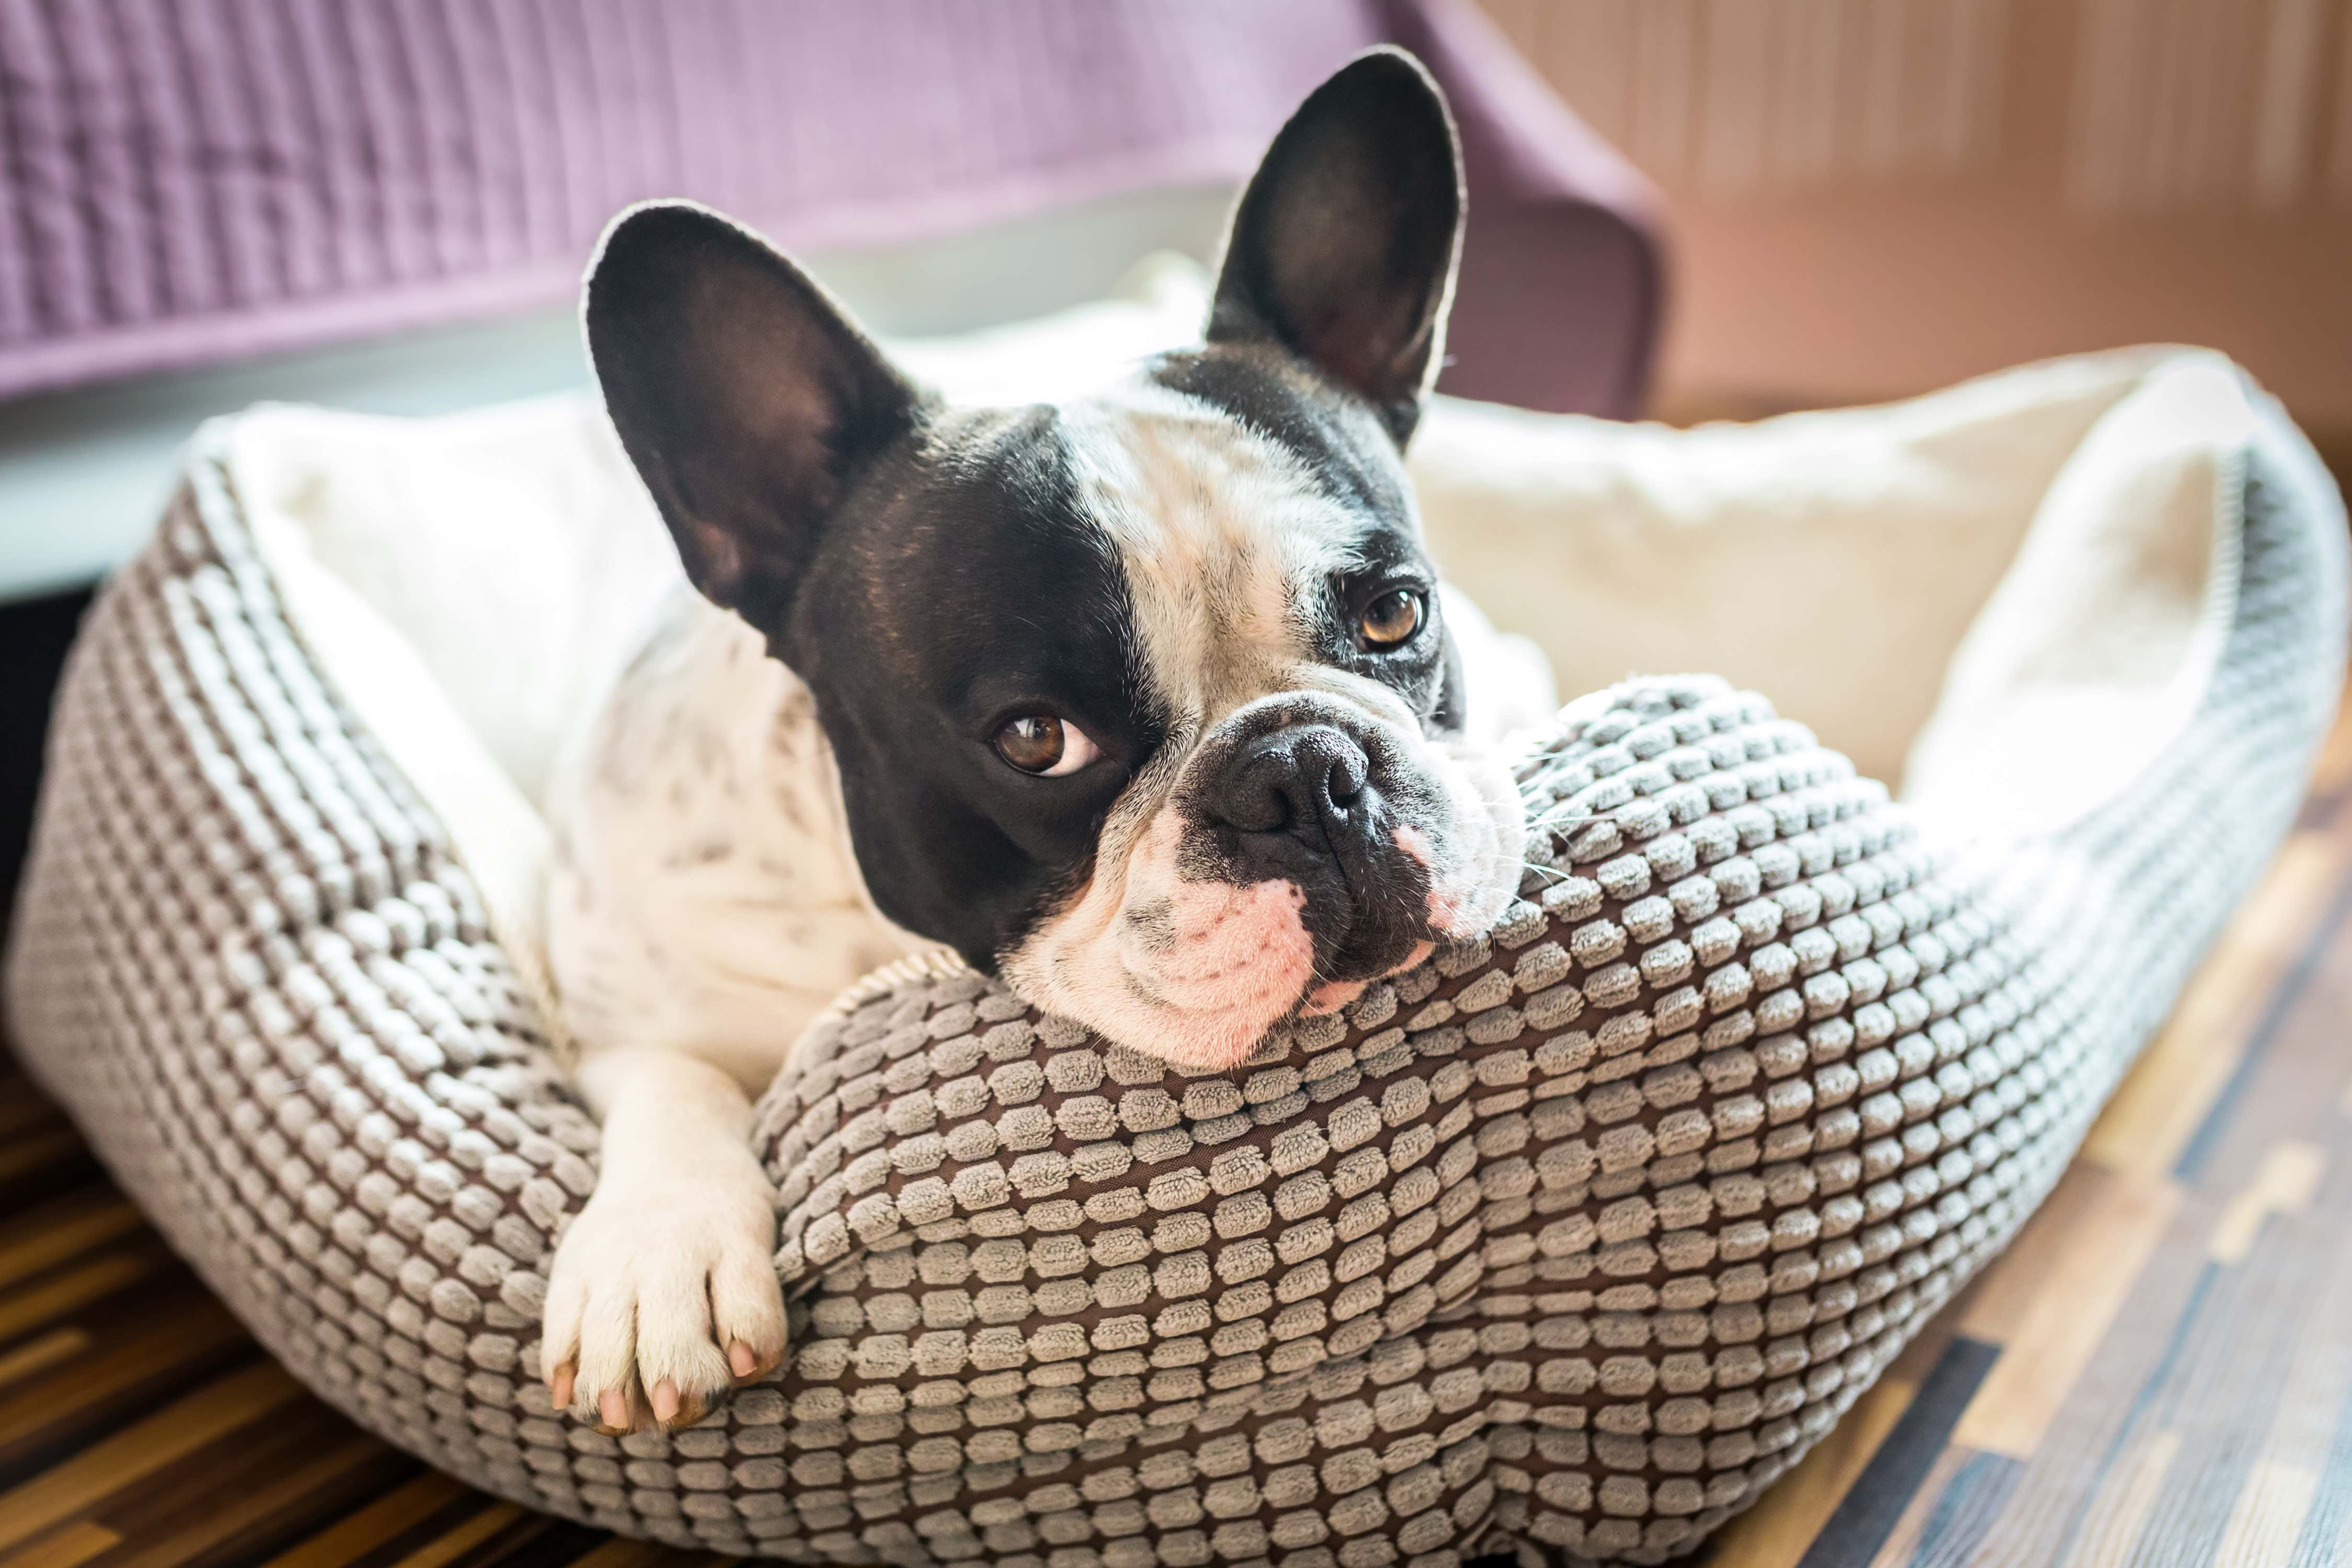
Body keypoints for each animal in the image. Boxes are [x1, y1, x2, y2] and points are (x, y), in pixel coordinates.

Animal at [545, 49, 1543, 1438]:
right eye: (1033, 741)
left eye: (1393, 612)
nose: (1304, 775)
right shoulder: (613, 988)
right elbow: (673, 1077)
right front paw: (658, 1249)